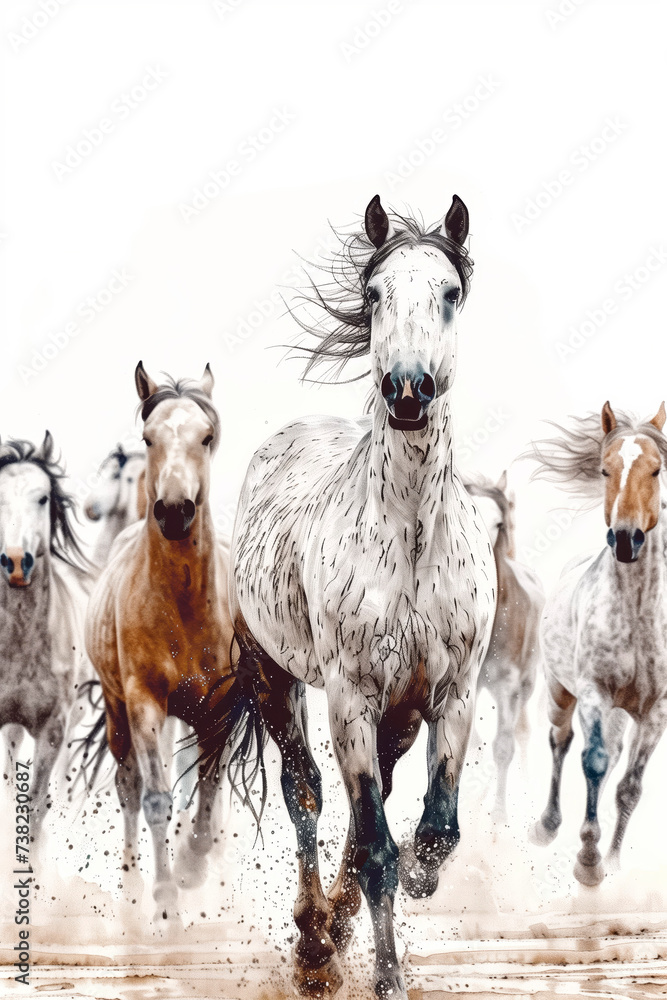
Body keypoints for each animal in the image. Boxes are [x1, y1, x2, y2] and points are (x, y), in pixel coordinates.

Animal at [84, 364, 262, 921]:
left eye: (206, 437)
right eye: (149, 436)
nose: (175, 511)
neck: (182, 602)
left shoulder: (218, 710)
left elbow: (207, 794)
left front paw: (191, 868)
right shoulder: (144, 702)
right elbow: (157, 799)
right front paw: (166, 900)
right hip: (117, 709)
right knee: (129, 787)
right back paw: (133, 891)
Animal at [229, 195, 496, 999]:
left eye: (450, 292)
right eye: (376, 294)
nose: (408, 392)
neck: (409, 542)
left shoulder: (452, 693)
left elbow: (434, 828)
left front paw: (420, 879)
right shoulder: (350, 696)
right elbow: (373, 843)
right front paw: (384, 976)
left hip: (398, 716)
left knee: (361, 804)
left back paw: (338, 921)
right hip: (276, 678)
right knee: (307, 793)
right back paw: (316, 937)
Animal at [529, 401, 667, 886]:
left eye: (657, 469)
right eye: (605, 470)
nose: (626, 540)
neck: (637, 614)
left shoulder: (655, 712)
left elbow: (629, 787)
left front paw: (612, 862)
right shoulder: (593, 692)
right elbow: (592, 762)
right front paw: (588, 860)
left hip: (621, 714)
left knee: (611, 753)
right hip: (560, 693)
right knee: (562, 741)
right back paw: (547, 826)